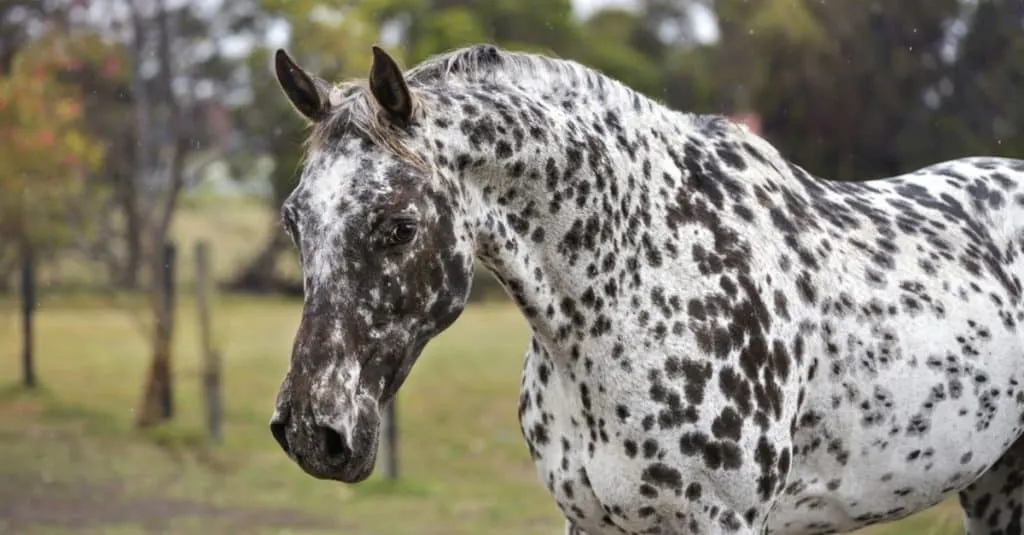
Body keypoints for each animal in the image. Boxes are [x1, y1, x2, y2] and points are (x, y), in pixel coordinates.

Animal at [268, 42, 1024, 532]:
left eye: (398, 225)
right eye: (293, 219)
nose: (310, 429)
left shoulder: (723, 520)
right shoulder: (590, 518)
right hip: (994, 486)